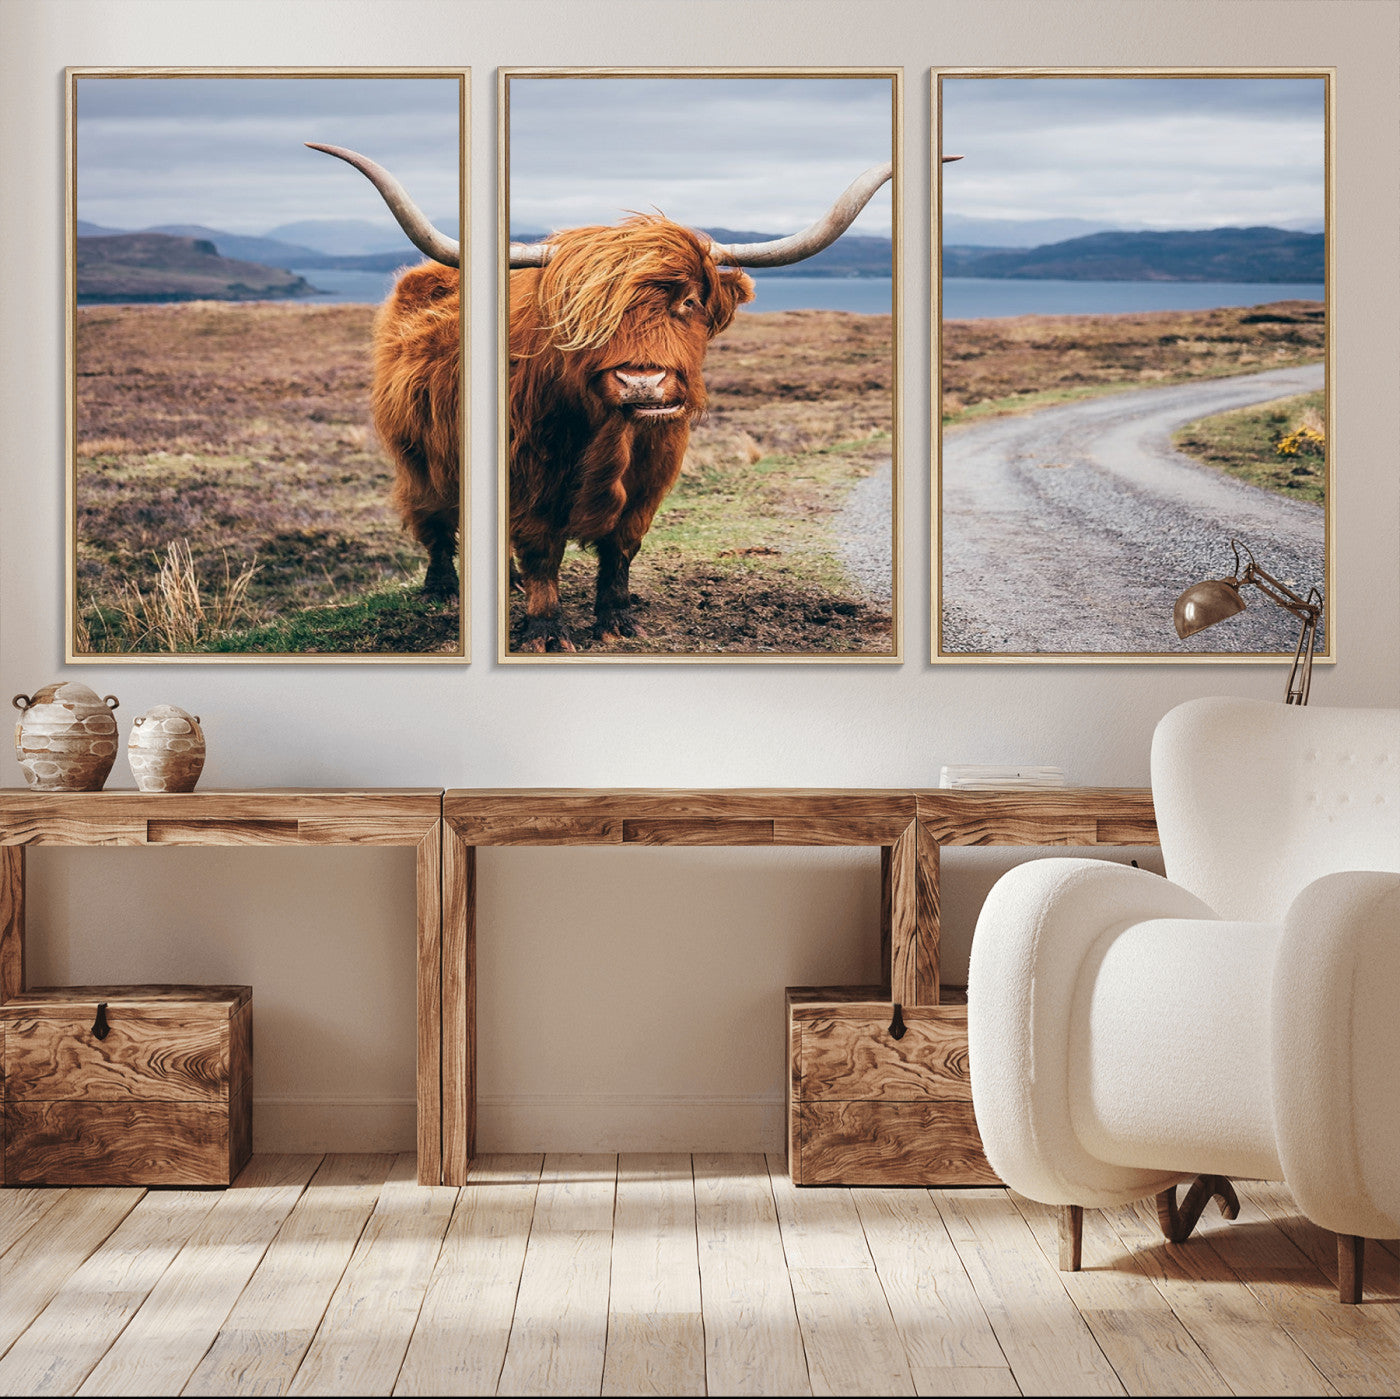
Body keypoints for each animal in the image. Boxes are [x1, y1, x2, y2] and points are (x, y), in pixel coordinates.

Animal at [309, 143, 959, 649]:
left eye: (689, 301)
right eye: (581, 312)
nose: (643, 383)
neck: (609, 437)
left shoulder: (652, 476)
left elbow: (622, 546)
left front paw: (617, 621)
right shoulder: (527, 476)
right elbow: (540, 548)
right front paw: (545, 631)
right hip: (416, 454)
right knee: (435, 519)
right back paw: (444, 588)